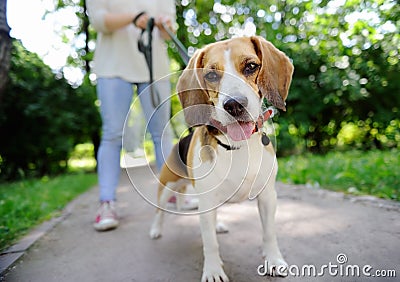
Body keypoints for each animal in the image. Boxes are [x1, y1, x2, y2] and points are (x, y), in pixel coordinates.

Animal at [150, 36, 294, 280]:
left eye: (251, 66)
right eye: (211, 75)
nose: (234, 104)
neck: (237, 146)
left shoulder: (267, 197)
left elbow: (269, 233)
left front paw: (274, 260)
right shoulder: (207, 200)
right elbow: (210, 243)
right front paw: (213, 270)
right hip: (167, 187)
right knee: (160, 211)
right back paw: (156, 229)